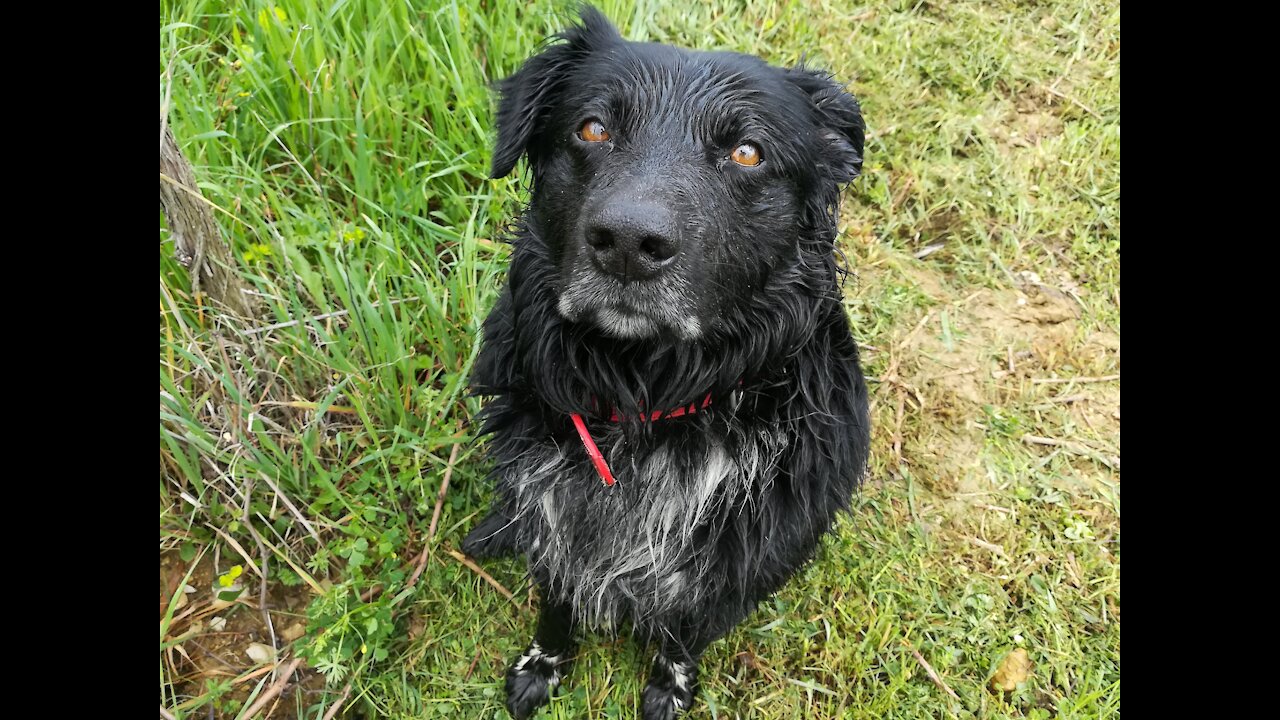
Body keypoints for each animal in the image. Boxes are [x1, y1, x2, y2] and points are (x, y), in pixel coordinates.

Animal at [460, 7, 870, 717]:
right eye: (592, 128)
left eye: (747, 152)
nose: (628, 243)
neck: (645, 400)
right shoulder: (553, 520)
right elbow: (555, 604)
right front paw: (543, 665)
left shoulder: (729, 566)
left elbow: (683, 632)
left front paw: (669, 688)